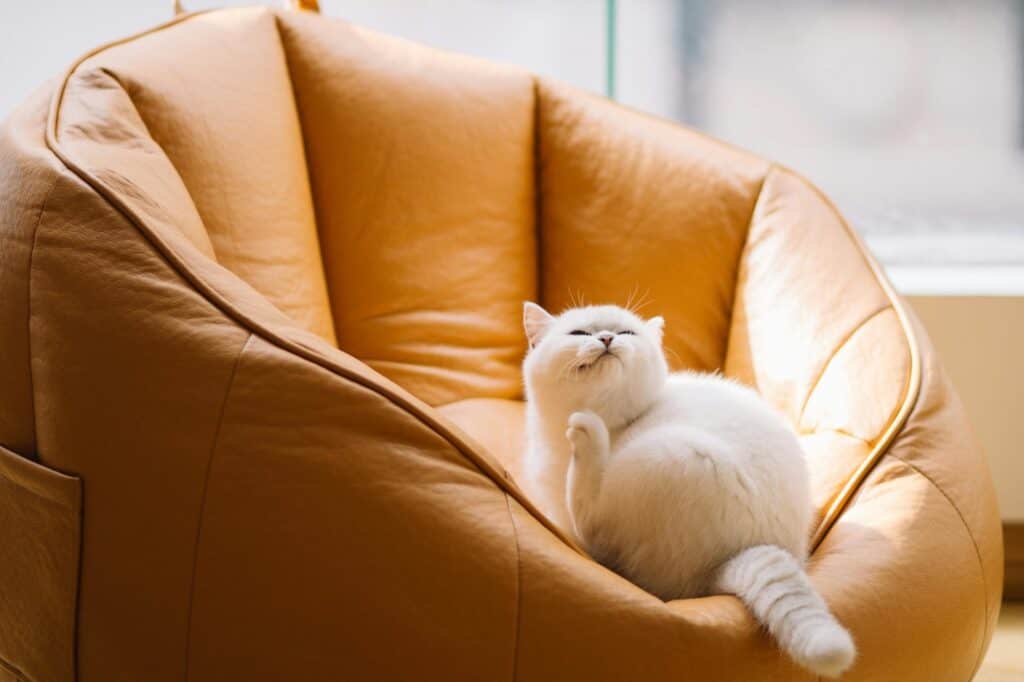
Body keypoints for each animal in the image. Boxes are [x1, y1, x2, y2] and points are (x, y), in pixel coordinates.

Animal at [524, 301, 851, 675]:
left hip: (676, 455)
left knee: (598, 534)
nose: (606, 338)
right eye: (578, 333)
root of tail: (735, 556)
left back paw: (586, 434)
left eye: (626, 333)